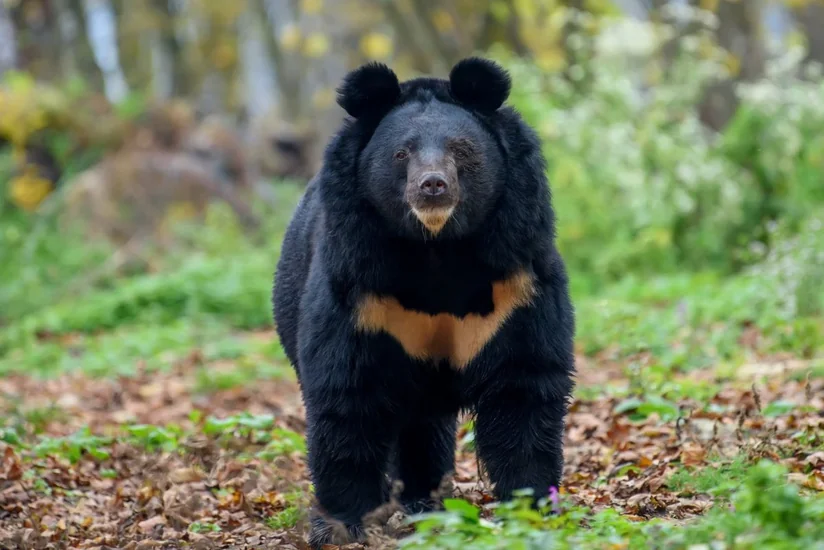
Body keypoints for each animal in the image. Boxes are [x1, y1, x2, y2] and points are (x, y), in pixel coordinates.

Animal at [272, 57, 576, 548]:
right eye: (402, 154)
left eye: (462, 149)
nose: (433, 186)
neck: (437, 248)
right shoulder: (359, 286)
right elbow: (347, 394)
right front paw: (341, 525)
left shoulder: (517, 277)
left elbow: (523, 385)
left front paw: (531, 507)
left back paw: (427, 503)